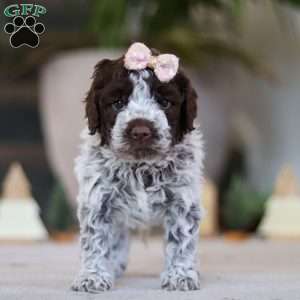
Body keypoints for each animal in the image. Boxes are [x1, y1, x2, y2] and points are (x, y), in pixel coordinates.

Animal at [71, 42, 205, 292]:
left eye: (164, 102)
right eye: (118, 103)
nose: (141, 131)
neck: (141, 166)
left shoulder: (182, 201)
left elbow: (181, 240)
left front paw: (180, 275)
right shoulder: (98, 200)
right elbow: (95, 240)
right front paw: (93, 276)